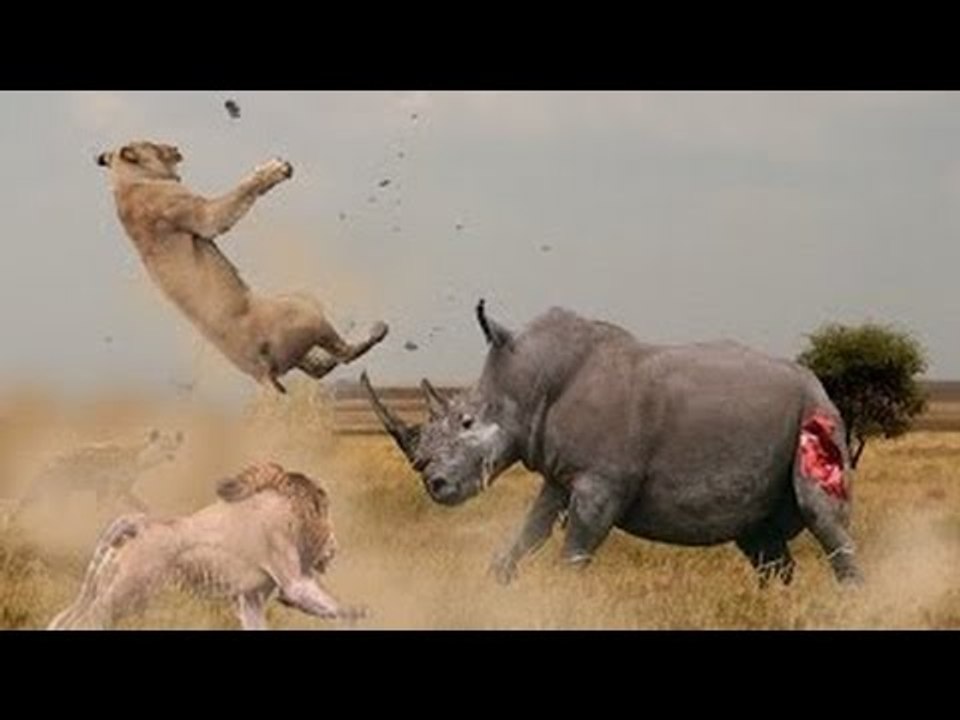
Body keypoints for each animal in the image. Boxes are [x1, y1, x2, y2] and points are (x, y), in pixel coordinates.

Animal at [361, 300, 862, 587]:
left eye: (467, 421)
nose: (434, 485)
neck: (532, 382)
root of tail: (817, 382)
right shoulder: (560, 474)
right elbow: (528, 534)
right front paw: (494, 587)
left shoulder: (602, 481)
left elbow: (574, 552)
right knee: (761, 541)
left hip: (817, 417)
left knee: (822, 516)